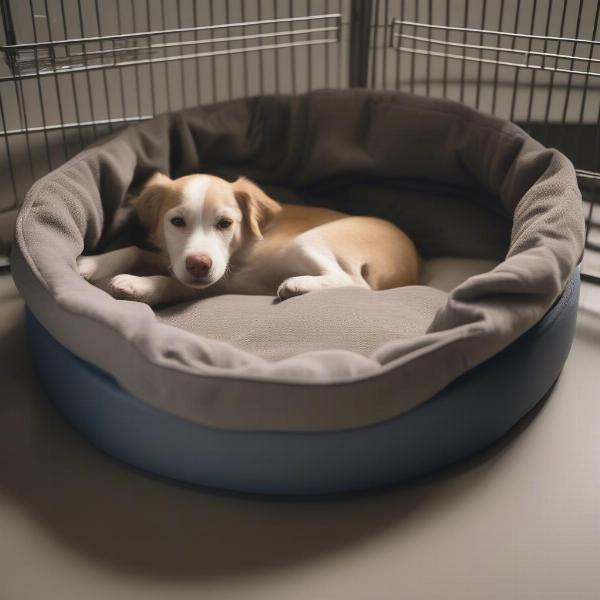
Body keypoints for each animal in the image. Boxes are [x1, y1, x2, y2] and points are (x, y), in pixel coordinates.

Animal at [77, 172, 420, 304]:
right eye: (176, 222)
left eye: (225, 223)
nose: (199, 264)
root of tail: (409, 263)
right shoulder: (172, 258)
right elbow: (134, 249)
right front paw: (90, 264)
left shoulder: (219, 280)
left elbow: (170, 282)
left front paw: (138, 285)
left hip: (309, 242)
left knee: (352, 281)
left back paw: (298, 285)